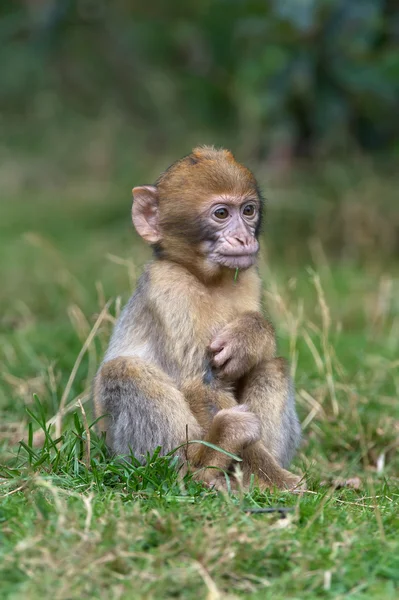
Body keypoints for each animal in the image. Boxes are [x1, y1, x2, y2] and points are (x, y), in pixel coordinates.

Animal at [94, 148, 302, 490]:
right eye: (221, 214)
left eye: (248, 211)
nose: (244, 239)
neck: (205, 279)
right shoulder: (171, 288)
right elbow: (201, 383)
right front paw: (280, 481)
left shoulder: (248, 279)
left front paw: (251, 336)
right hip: (125, 451)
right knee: (125, 371)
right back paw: (202, 467)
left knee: (272, 366)